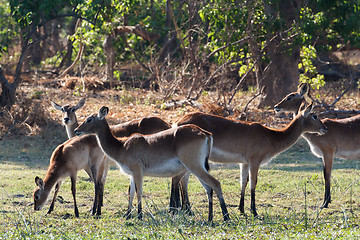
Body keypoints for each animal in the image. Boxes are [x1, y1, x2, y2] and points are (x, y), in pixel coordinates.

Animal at [34, 99, 187, 218]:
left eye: (73, 109)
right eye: (62, 109)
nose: (66, 119)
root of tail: (169, 125)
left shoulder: (98, 164)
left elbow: (98, 184)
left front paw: (94, 209)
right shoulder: (105, 166)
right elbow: (101, 183)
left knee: (177, 179)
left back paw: (176, 208)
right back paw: (180, 208)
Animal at [74, 107, 229, 221]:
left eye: (89, 119)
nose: (76, 130)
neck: (122, 146)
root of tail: (205, 133)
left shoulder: (138, 172)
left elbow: (139, 192)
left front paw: (139, 216)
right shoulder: (132, 174)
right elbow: (131, 193)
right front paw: (128, 215)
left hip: (194, 166)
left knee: (216, 183)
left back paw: (226, 217)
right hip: (196, 168)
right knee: (208, 189)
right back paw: (210, 219)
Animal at [173, 102, 328, 217]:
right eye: (314, 115)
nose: (325, 128)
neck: (271, 136)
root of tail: (178, 122)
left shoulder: (244, 162)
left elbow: (243, 182)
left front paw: (241, 209)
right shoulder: (255, 161)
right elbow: (253, 183)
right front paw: (254, 211)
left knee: (181, 180)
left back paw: (184, 209)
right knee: (182, 180)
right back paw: (185, 209)